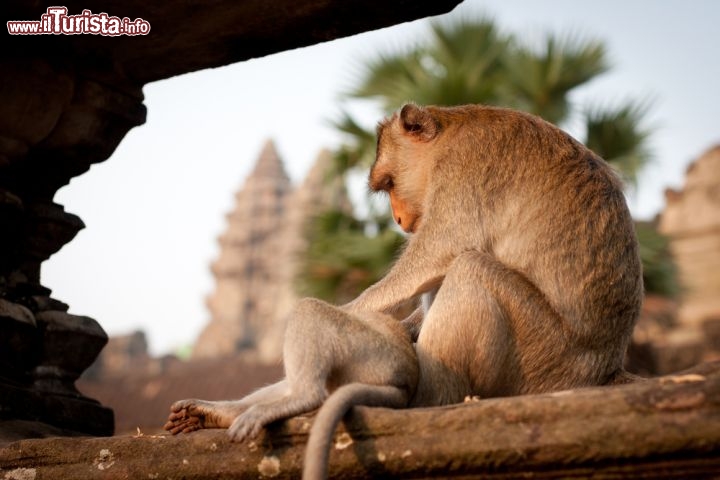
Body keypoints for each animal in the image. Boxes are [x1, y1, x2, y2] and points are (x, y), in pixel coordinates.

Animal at [346, 104, 644, 404]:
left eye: (390, 182)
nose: (396, 218)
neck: (446, 136)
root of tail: (606, 370)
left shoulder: (461, 167)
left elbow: (440, 250)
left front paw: (345, 313)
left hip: (546, 358)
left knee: (469, 267)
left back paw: (428, 399)